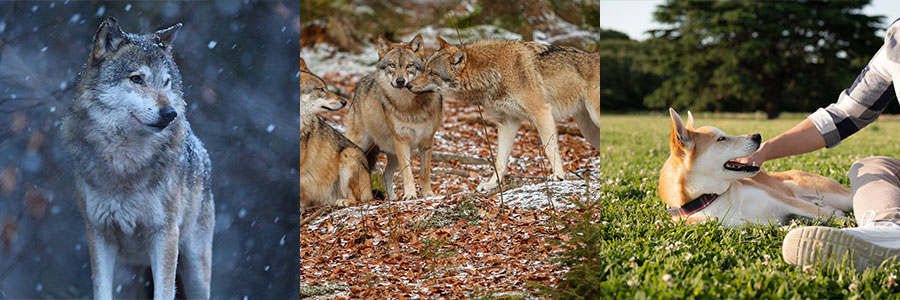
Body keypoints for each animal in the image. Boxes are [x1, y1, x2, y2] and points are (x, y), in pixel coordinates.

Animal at [60, 17, 214, 298]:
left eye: (166, 82)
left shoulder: (164, 234)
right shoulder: (99, 233)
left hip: (195, 269)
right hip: (127, 276)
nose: (170, 113)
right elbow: (100, 291)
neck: (126, 161)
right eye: (137, 79)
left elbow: (164, 293)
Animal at [344, 34, 442, 200]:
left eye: (409, 65)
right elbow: (407, 172)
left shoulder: (427, 141)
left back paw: (392, 199)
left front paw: (428, 194)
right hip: (358, 146)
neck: (409, 106)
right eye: (392, 65)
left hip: (392, 154)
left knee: (385, 176)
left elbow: (425, 172)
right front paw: (410, 194)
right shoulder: (401, 140)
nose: (400, 81)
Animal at [408, 37, 596, 192]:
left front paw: (558, 175)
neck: (494, 72)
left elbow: (550, 149)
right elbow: (500, 161)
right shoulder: (507, 123)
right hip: (587, 130)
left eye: (432, 73)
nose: (408, 85)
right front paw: (491, 184)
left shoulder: (541, 112)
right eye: (424, 69)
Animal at [652, 109, 852, 226]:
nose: (757, 136)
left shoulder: (787, 201)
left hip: (836, 196)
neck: (711, 198)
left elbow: (836, 218)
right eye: (721, 139)